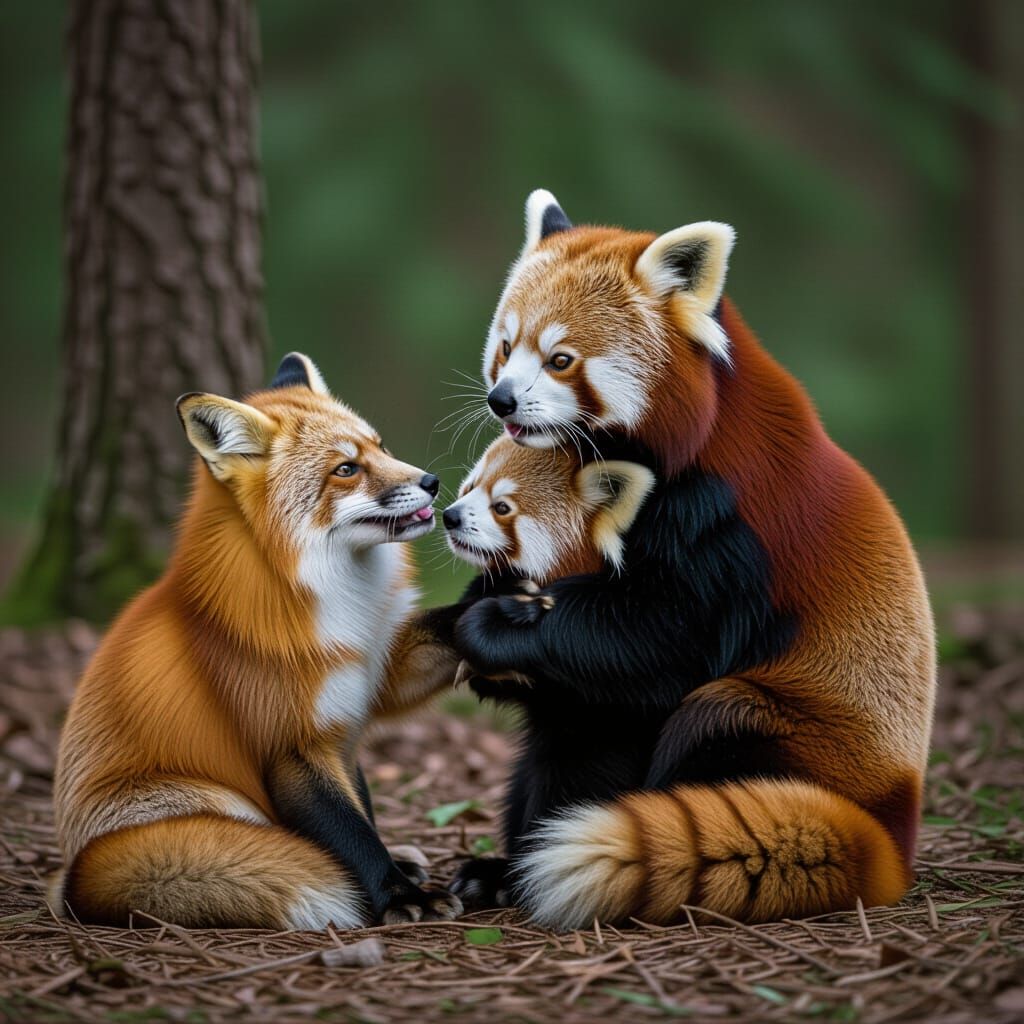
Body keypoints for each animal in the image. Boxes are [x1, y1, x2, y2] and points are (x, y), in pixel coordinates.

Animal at [51, 353, 463, 930]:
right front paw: (401, 896)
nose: (432, 481)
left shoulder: (363, 691)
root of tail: (69, 880)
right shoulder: (289, 746)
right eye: (346, 469)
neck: (342, 605)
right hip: (215, 800)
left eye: (380, 446)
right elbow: (352, 835)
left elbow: (363, 808)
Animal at [446, 191, 935, 928]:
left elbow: (662, 641)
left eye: (560, 359)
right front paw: (484, 601)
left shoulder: (729, 527)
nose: (501, 399)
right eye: (505, 347)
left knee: (713, 717)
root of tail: (890, 838)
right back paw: (499, 872)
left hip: (803, 729)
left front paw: (497, 624)